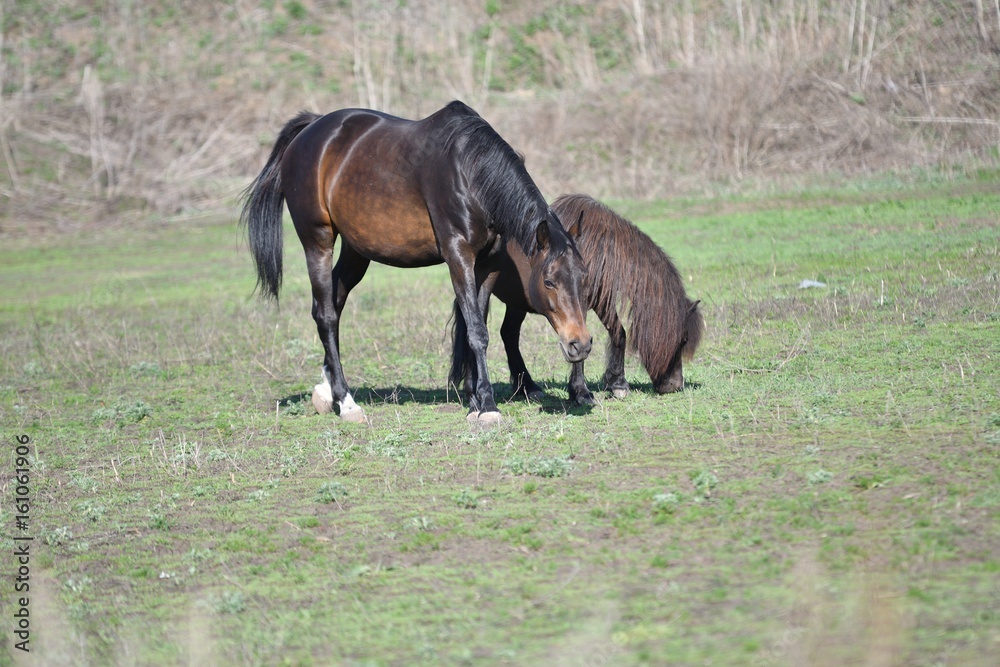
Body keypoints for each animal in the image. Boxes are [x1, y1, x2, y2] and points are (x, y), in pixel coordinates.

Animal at [240, 101, 592, 424]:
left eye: (583, 279)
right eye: (549, 282)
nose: (580, 345)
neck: (470, 172)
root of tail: (311, 129)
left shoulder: (488, 264)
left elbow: (473, 324)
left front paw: (475, 400)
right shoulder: (458, 255)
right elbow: (477, 331)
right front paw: (488, 406)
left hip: (356, 251)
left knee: (333, 305)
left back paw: (327, 391)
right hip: (318, 241)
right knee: (325, 315)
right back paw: (347, 401)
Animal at [450, 194, 703, 405]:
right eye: (683, 339)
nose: (674, 385)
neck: (597, 249)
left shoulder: (599, 300)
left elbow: (617, 333)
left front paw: (616, 383)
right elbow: (582, 347)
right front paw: (582, 392)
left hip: (515, 302)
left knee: (509, 334)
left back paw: (528, 387)